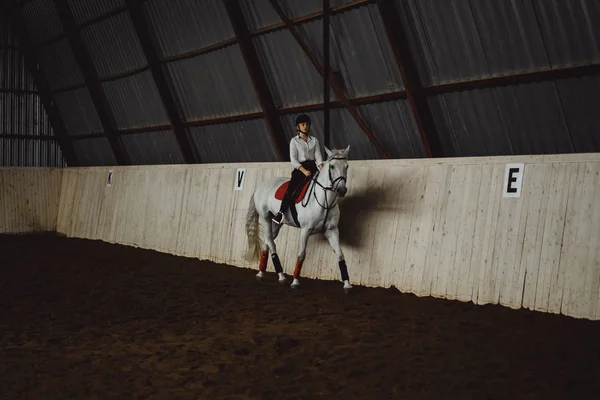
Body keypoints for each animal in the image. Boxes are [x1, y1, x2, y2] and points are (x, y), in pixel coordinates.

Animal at [245, 145, 352, 292]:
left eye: (347, 166)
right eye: (332, 166)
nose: (342, 190)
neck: (324, 201)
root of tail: (260, 187)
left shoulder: (332, 231)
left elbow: (340, 254)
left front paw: (347, 284)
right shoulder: (305, 230)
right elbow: (301, 254)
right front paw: (295, 282)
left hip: (277, 222)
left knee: (267, 241)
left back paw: (261, 273)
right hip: (265, 218)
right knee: (271, 243)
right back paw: (281, 276)